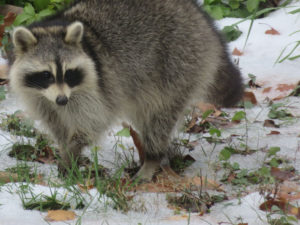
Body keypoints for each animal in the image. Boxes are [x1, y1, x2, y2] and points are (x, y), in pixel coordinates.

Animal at [8, 0, 244, 179]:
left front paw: (72, 152)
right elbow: (57, 125)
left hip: (181, 62)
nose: (62, 101)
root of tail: (202, 20)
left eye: (69, 73)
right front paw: (65, 151)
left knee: (158, 118)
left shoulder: (96, 90)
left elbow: (91, 123)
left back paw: (152, 159)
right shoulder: (41, 98)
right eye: (46, 75)